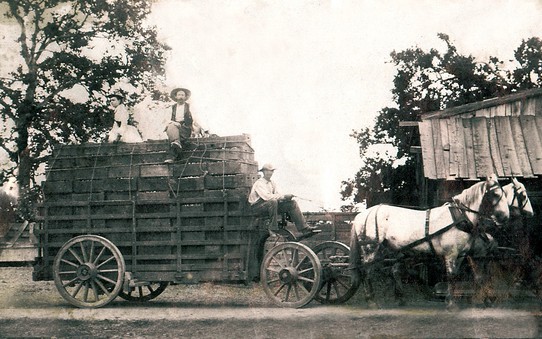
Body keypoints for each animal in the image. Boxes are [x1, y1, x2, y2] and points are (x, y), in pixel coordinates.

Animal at [350, 175, 512, 308]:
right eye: (495, 194)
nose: (505, 217)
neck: (459, 217)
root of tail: (363, 214)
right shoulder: (451, 254)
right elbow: (451, 276)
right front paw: (451, 304)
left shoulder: (460, 255)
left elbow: (458, 276)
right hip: (371, 248)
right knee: (367, 271)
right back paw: (372, 301)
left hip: (396, 249)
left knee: (394, 271)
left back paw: (400, 299)